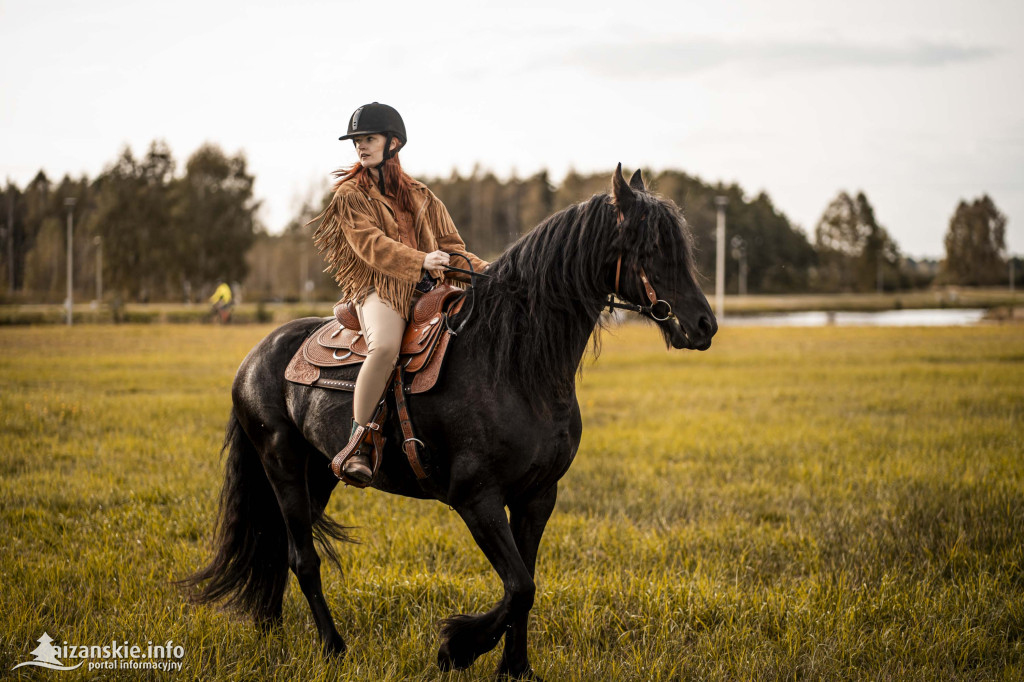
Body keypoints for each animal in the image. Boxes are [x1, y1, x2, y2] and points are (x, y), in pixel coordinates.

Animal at [184, 163, 716, 675]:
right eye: (651, 246)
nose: (704, 325)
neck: (514, 364)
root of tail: (255, 357)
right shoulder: (476, 498)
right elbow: (519, 587)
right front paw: (456, 648)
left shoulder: (537, 497)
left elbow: (526, 585)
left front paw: (515, 668)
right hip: (284, 467)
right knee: (303, 558)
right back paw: (333, 648)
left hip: (319, 474)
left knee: (279, 547)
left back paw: (271, 627)